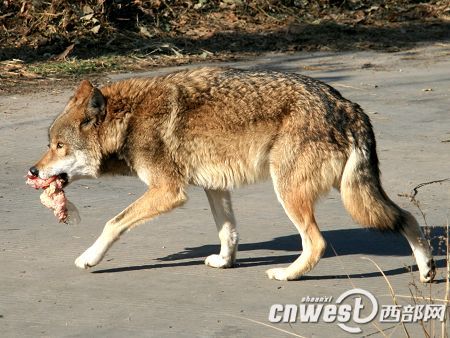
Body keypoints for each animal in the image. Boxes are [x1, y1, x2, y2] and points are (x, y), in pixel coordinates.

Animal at [29, 66, 436, 282]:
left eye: (59, 146)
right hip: (354, 192)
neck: (129, 119)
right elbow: (228, 232)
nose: (32, 170)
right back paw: (427, 268)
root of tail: (346, 105)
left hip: (291, 193)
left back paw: (287, 274)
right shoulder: (214, 187)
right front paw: (225, 262)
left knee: (317, 243)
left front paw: (89, 258)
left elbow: (112, 223)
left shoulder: (168, 191)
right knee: (407, 217)